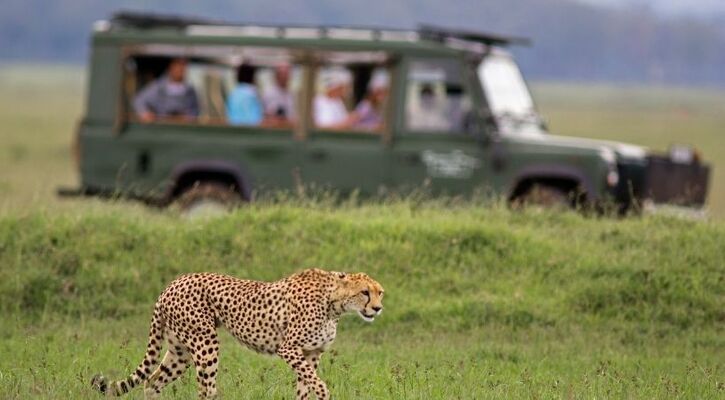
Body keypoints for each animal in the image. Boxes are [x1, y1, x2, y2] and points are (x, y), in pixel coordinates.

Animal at [90, 268, 384, 398]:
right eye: (364, 292)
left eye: (380, 292)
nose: (378, 308)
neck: (334, 302)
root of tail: (172, 284)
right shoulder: (289, 348)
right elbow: (317, 383)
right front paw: (324, 393)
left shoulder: (311, 353)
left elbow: (305, 386)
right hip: (205, 343)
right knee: (206, 390)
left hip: (180, 352)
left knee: (152, 382)